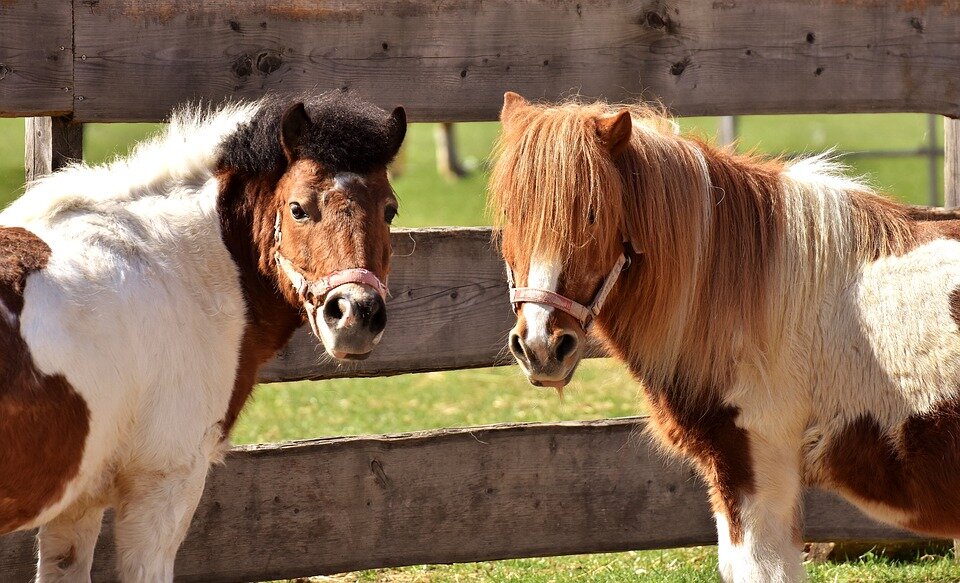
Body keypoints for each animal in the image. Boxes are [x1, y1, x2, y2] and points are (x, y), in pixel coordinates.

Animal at [0, 91, 404, 580]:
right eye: (298, 208)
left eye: (390, 210)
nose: (355, 315)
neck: (172, 265)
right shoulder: (164, 486)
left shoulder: (77, 505)